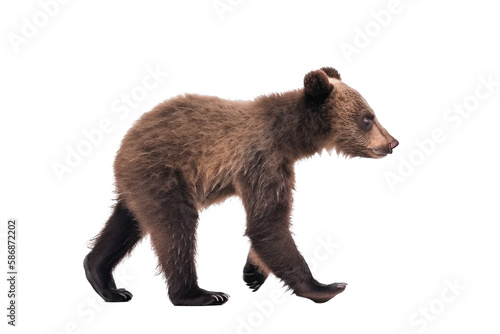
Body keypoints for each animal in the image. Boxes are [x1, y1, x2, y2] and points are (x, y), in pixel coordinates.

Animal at [84, 66, 400, 306]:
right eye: (367, 118)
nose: (392, 142)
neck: (291, 138)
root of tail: (127, 139)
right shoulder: (262, 160)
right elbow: (268, 224)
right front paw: (326, 286)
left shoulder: (274, 165)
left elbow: (267, 224)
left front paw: (254, 273)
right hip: (163, 172)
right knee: (175, 228)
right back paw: (199, 294)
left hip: (138, 182)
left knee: (126, 221)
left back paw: (104, 280)